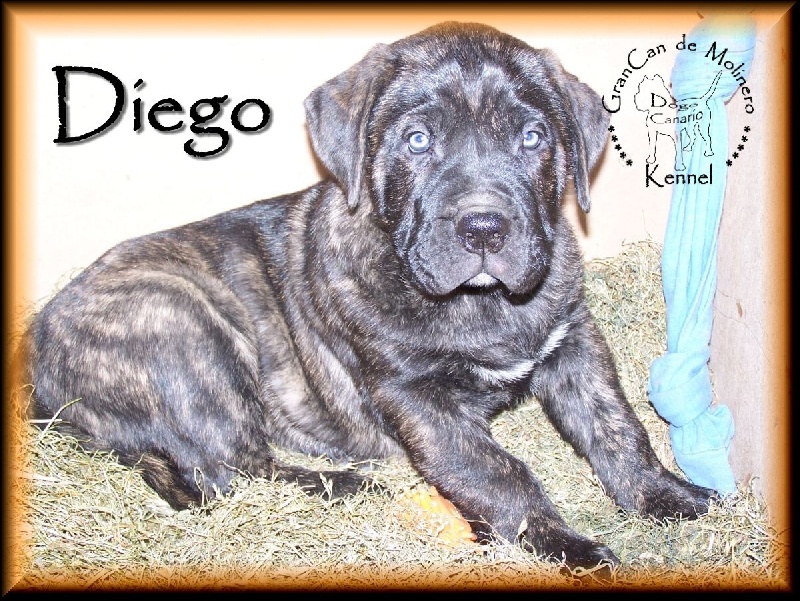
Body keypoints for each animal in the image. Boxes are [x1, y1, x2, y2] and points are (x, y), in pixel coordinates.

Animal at [20, 22, 712, 571]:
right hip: (185, 330)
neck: (482, 305)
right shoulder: (416, 397)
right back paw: (349, 487)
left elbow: (617, 427)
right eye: (417, 140)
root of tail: (36, 367)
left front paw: (671, 498)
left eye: (534, 137)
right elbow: (496, 471)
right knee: (230, 469)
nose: (484, 228)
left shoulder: (574, 342)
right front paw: (567, 546)